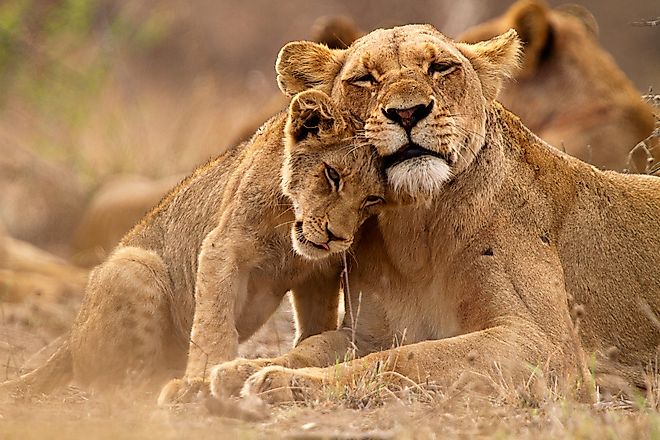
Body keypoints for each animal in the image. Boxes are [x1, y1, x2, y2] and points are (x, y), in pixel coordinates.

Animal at [0, 90, 385, 398]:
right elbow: (214, 323)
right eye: (332, 175)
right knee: (117, 382)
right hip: (135, 265)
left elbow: (316, 325)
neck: (288, 230)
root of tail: (70, 336)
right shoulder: (222, 247)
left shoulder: (320, 273)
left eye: (373, 199)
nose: (337, 237)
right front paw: (201, 380)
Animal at [205, 24, 660, 405]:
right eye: (365, 79)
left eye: (441, 67)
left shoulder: (548, 347)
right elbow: (312, 346)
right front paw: (241, 369)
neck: (414, 228)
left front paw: (282, 382)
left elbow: (408, 358)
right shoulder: (368, 332)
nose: (408, 112)